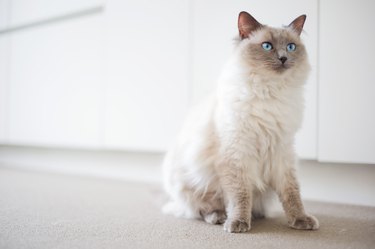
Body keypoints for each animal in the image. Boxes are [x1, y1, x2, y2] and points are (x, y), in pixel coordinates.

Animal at [162, 11, 320, 233]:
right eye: (267, 46)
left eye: (291, 47)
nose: (283, 58)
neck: (271, 92)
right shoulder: (236, 154)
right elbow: (240, 195)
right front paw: (238, 223)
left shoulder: (282, 153)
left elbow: (292, 194)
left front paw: (300, 220)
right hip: (190, 183)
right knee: (203, 210)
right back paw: (220, 218)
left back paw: (257, 215)